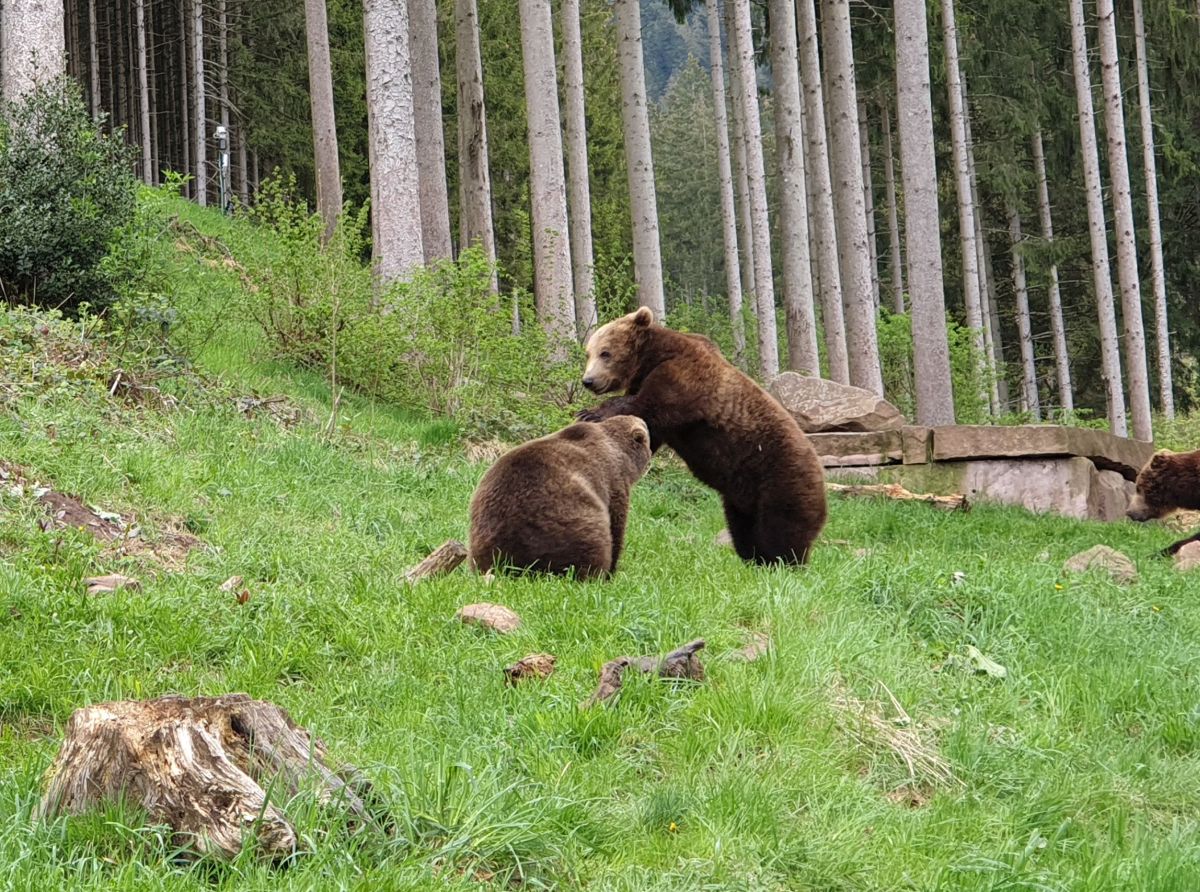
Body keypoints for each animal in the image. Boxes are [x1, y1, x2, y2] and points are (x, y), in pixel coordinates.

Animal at [578, 303, 825, 561]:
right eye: (588, 353)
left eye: (605, 353)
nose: (588, 380)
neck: (650, 359)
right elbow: (647, 432)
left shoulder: (683, 379)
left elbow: (646, 404)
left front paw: (591, 413)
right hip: (741, 498)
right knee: (744, 529)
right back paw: (753, 557)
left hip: (781, 476)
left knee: (781, 529)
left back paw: (781, 560)